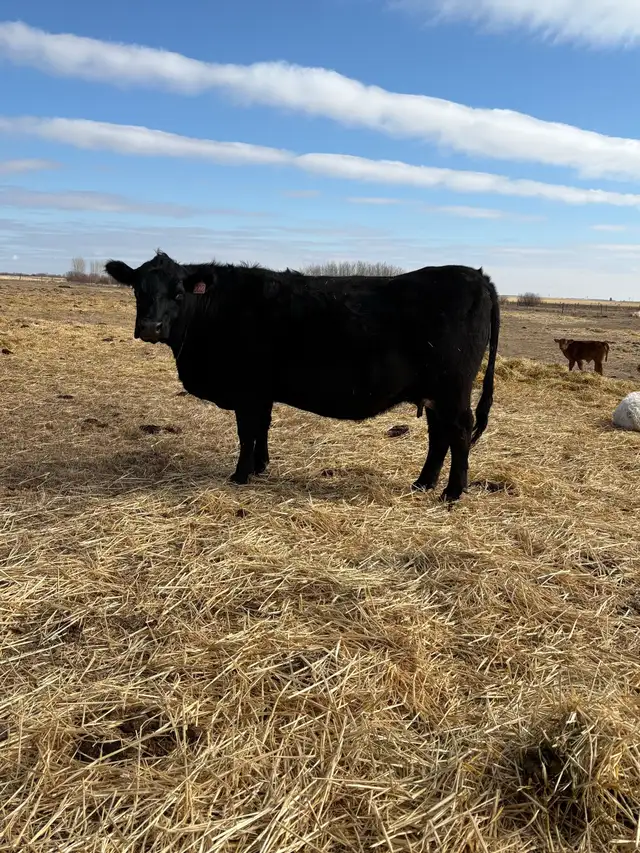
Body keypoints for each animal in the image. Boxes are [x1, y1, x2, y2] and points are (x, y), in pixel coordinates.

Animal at [105, 251, 500, 503]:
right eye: (138, 288)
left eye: (178, 292)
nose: (150, 327)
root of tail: (476, 275)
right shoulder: (261, 392)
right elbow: (261, 429)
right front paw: (260, 468)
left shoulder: (247, 389)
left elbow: (246, 433)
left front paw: (240, 476)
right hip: (434, 392)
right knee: (439, 436)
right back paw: (423, 483)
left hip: (452, 389)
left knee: (458, 432)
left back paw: (452, 493)